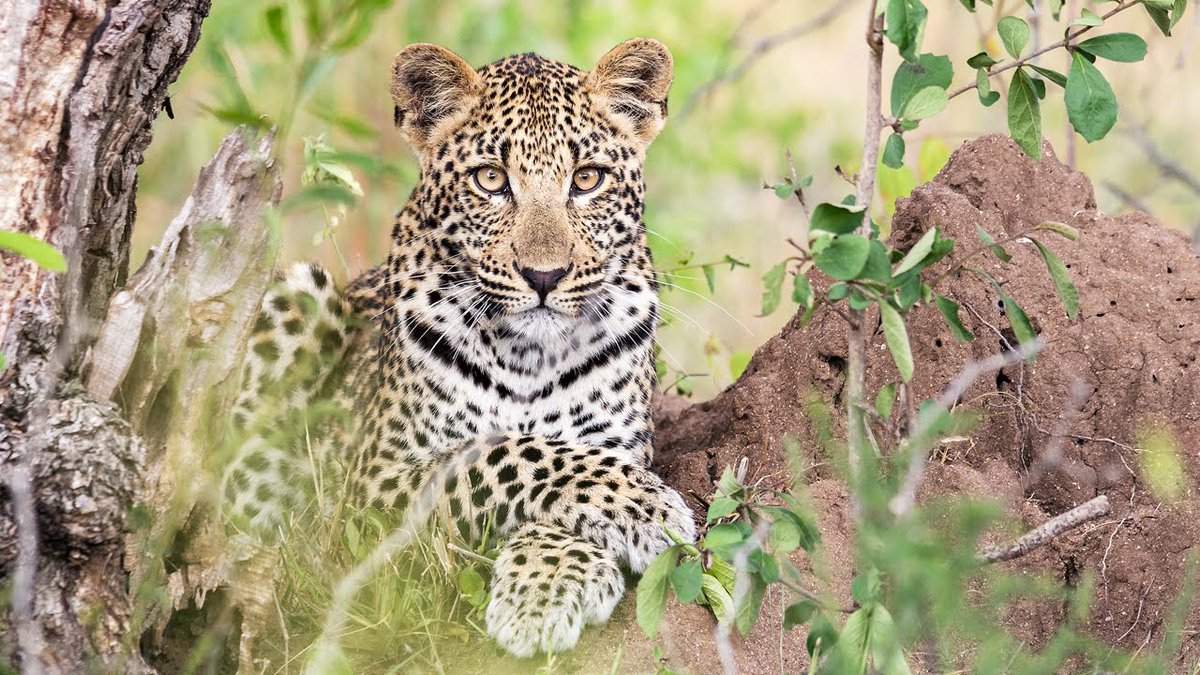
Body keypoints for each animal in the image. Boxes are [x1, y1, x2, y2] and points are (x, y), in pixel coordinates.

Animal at [220, 38, 696, 659]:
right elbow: (505, 454)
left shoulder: (615, 442)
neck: (528, 357)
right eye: (491, 180)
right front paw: (649, 509)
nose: (545, 276)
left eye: (588, 179)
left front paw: (544, 590)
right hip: (295, 294)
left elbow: (561, 467)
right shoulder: (373, 483)